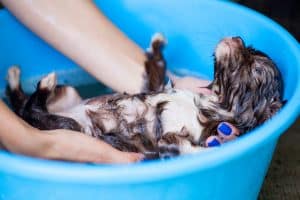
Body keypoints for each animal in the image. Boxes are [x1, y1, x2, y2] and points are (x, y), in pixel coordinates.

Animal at [7, 34, 284, 159]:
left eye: (255, 68)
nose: (237, 38)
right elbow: (155, 75)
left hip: (71, 126)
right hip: (69, 97)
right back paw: (18, 78)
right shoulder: (157, 87)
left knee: (34, 111)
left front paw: (173, 142)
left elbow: (189, 149)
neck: (213, 101)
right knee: (23, 104)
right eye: (249, 48)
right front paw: (157, 49)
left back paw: (39, 84)